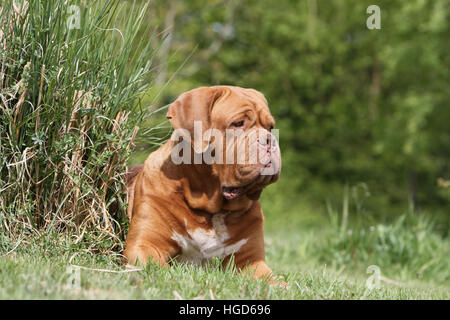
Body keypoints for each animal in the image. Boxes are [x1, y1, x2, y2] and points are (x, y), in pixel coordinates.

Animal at [123, 86, 282, 284]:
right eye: (238, 123)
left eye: (270, 127)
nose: (270, 139)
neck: (212, 210)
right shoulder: (144, 245)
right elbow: (159, 269)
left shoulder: (251, 260)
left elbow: (273, 280)